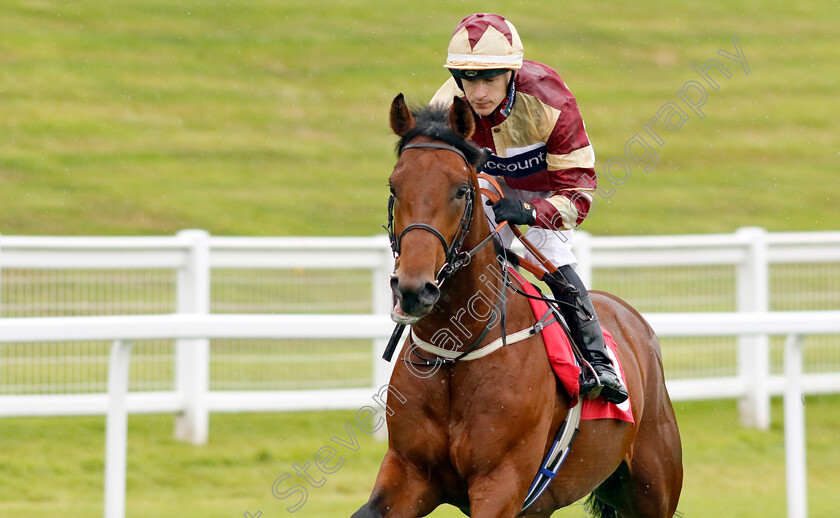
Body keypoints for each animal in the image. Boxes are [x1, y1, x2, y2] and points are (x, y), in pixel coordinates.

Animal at [352, 95, 680, 516]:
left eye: (461, 190)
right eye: (395, 185)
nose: (413, 288)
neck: (456, 352)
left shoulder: (502, 483)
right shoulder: (408, 472)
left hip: (652, 485)